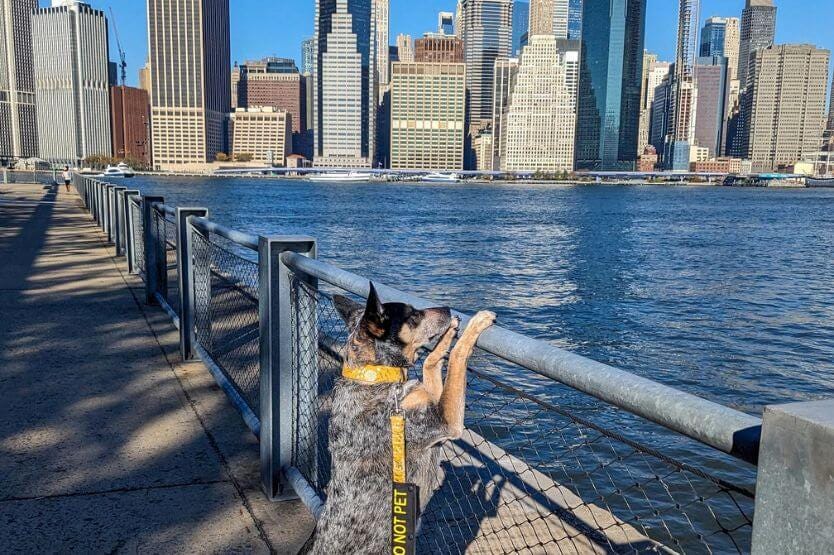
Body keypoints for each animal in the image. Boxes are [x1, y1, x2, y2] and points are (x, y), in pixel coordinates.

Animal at [308, 284, 498, 552]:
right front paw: (476, 324)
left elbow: (430, 362)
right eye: (413, 315)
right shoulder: (445, 422)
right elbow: (457, 357)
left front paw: (449, 334)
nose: (446, 308)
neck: (375, 377)